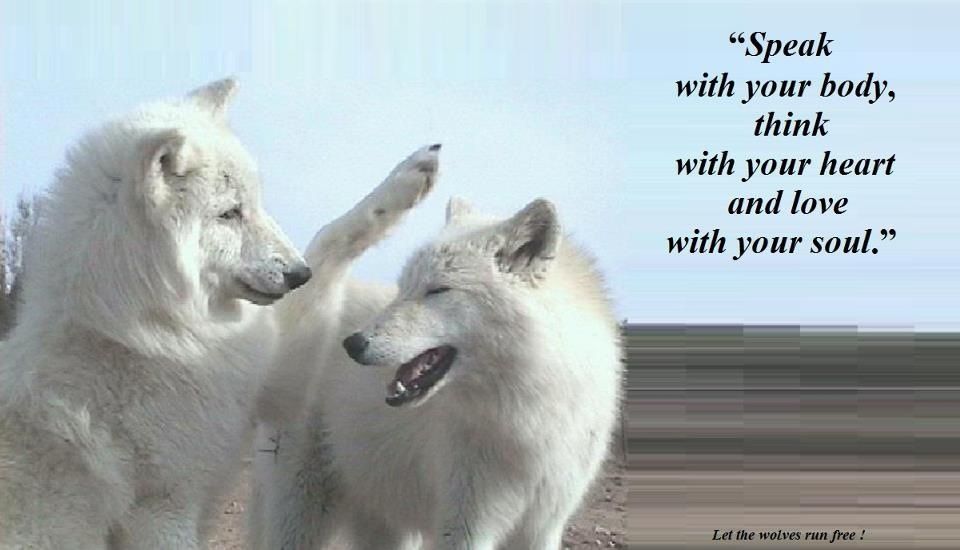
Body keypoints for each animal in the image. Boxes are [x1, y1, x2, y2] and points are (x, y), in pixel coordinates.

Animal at [0, 78, 440, 549]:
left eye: (254, 204)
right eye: (229, 213)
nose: (297, 273)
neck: (138, 323)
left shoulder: (270, 385)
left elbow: (329, 238)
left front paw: (413, 171)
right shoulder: (164, 510)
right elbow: (329, 247)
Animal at [252, 197, 623, 549]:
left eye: (438, 290)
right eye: (403, 287)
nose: (353, 344)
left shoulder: (543, 527)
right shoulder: (466, 523)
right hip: (300, 511)